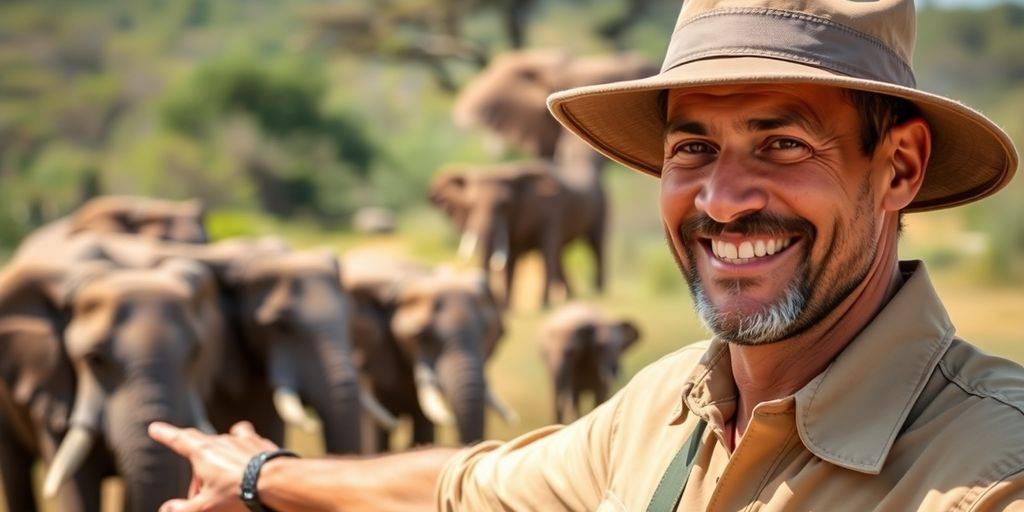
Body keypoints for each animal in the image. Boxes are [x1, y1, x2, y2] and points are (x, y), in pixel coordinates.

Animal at [429, 160, 605, 307]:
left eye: (505, 205)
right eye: (470, 205)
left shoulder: (552, 211)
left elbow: (546, 251)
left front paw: (543, 306)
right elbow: (511, 259)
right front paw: (507, 308)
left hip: (603, 204)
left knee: (594, 247)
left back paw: (596, 293)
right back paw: (571, 298)